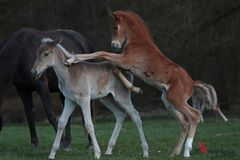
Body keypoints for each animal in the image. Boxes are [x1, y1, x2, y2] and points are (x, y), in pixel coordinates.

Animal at [65, 10, 216, 158]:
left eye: (115, 27)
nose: (114, 45)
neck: (139, 43)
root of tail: (192, 83)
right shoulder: (125, 65)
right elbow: (115, 69)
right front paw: (136, 88)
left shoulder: (125, 61)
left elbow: (101, 53)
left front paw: (71, 60)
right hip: (167, 101)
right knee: (184, 122)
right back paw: (175, 152)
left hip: (176, 99)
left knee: (194, 115)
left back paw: (186, 151)